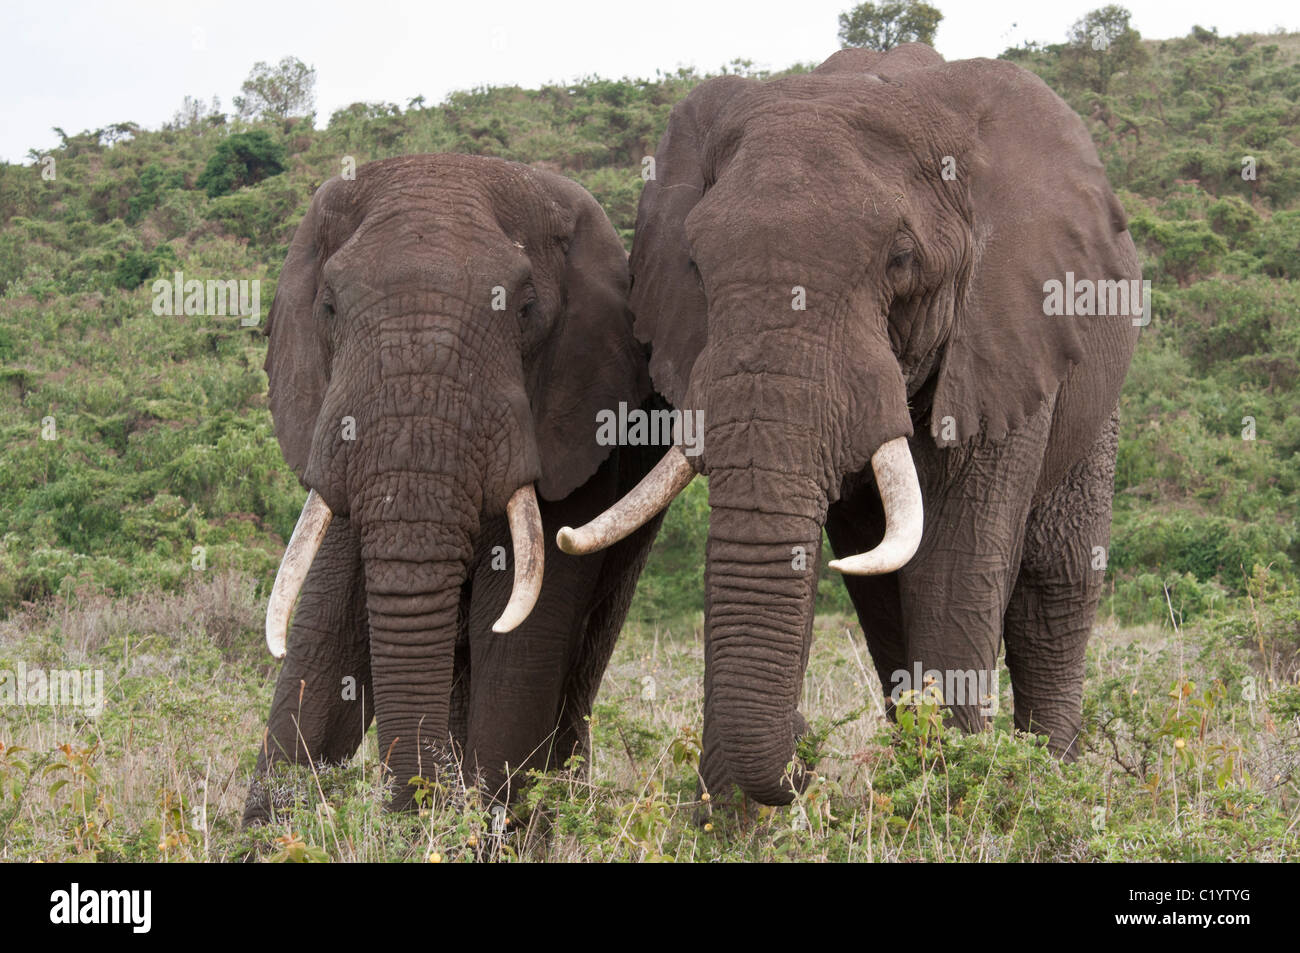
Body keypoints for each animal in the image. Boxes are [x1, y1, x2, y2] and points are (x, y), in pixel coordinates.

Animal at [244, 152, 665, 821]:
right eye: (329, 306)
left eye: (525, 310)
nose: (422, 802)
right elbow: (326, 640)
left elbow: (514, 650)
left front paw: (479, 827)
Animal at [556, 44, 1138, 800]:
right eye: (696, 264)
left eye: (902, 260)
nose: (806, 748)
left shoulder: (1005, 327)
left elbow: (958, 561)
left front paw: (956, 798)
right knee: (880, 581)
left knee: (1055, 582)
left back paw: (1053, 778)